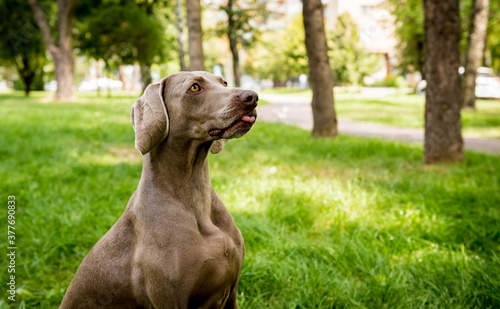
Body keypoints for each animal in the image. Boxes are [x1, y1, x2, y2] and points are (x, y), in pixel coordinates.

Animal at [59, 71, 258, 306]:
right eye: (194, 87)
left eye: (224, 83)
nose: (252, 97)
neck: (195, 199)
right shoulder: (170, 298)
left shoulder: (232, 291)